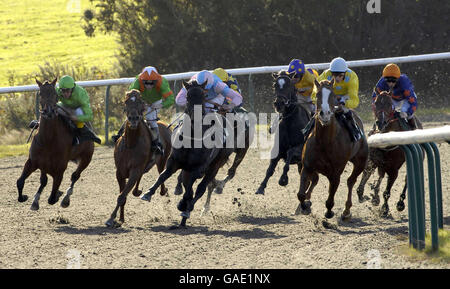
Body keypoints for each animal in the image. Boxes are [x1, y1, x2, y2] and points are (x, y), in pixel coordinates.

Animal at [16, 79, 95, 209]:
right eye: (41, 94)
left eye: (55, 95)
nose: (49, 112)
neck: (48, 140)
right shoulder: (33, 161)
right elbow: (20, 182)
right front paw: (24, 197)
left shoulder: (59, 169)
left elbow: (52, 198)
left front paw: (59, 194)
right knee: (43, 180)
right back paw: (36, 200)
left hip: (87, 158)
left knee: (75, 176)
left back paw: (66, 198)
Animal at [106, 89, 173, 226]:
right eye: (126, 103)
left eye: (141, 104)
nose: (133, 119)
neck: (131, 144)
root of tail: (165, 125)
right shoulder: (119, 172)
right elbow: (123, 194)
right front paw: (120, 218)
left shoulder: (135, 170)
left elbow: (122, 196)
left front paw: (111, 218)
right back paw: (138, 192)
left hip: (162, 160)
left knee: (161, 173)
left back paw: (161, 191)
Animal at [141, 79, 232, 227]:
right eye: (188, 96)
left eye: (204, 96)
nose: (196, 118)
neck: (193, 137)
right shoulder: (174, 161)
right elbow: (163, 175)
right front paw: (148, 193)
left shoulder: (198, 167)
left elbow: (191, 188)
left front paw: (184, 204)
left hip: (215, 164)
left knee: (201, 188)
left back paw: (187, 210)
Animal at [296, 79, 370, 218]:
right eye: (317, 95)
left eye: (333, 95)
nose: (325, 114)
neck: (325, 143)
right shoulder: (307, 167)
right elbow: (301, 194)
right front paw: (305, 206)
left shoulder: (335, 174)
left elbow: (330, 199)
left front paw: (329, 211)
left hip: (361, 162)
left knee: (351, 181)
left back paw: (346, 210)